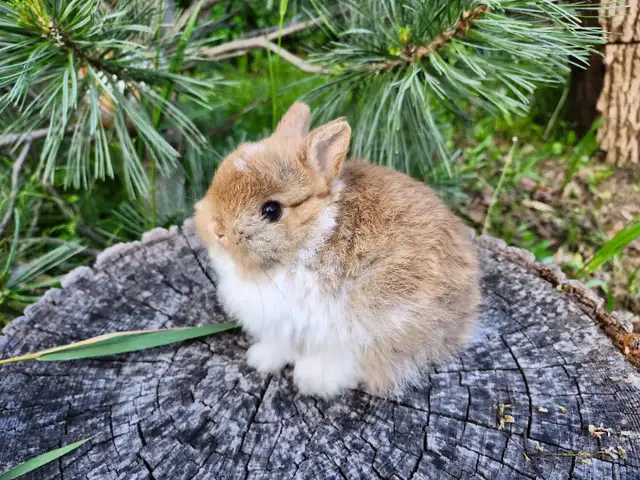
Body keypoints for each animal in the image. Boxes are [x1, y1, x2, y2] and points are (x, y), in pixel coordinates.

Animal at [194, 101, 480, 398]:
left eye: (271, 210)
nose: (216, 230)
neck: (316, 233)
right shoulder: (281, 327)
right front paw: (260, 359)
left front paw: (308, 381)